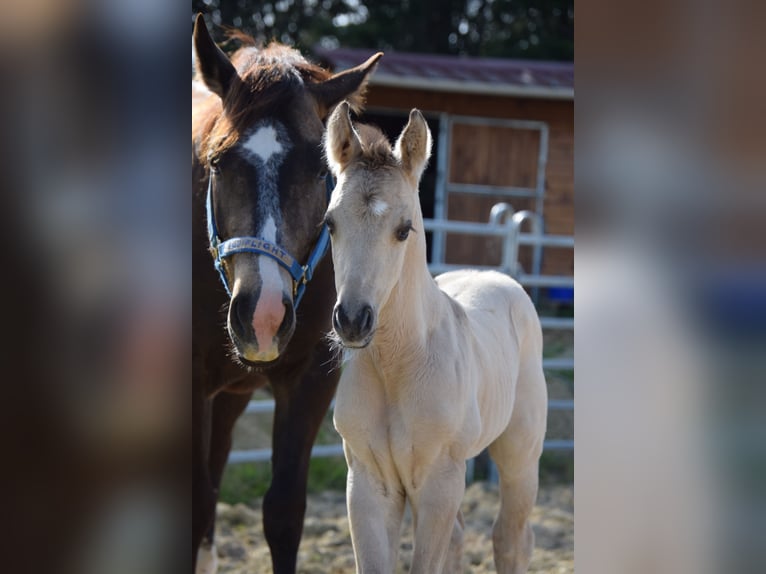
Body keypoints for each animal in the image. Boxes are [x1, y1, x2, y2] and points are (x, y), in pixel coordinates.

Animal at [323, 102, 549, 573]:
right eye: (330, 224)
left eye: (403, 229)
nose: (352, 320)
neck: (398, 364)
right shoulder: (368, 484)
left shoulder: (438, 481)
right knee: (462, 540)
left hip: (520, 457)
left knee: (511, 538)